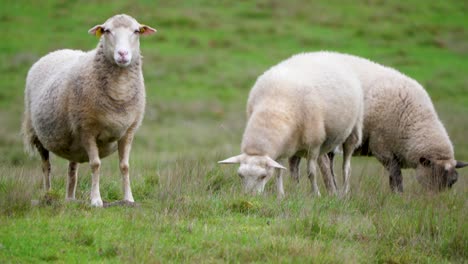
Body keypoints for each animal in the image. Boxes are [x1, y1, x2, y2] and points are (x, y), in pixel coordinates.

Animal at [22, 14, 156, 207]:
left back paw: (70, 198)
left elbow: (125, 166)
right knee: (46, 166)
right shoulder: (87, 130)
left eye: (136, 31)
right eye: (107, 30)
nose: (122, 54)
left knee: (72, 169)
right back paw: (47, 195)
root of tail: (56, 52)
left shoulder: (128, 131)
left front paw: (129, 198)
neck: (119, 91)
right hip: (37, 134)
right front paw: (96, 200)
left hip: (72, 142)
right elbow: (95, 164)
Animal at [218, 53, 364, 197]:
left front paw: (316, 194)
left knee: (346, 167)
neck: (274, 105)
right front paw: (281, 195)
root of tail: (327, 53)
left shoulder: (314, 146)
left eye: (263, 176)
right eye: (240, 175)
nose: (250, 196)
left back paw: (344, 193)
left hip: (352, 132)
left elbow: (311, 173)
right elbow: (279, 172)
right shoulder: (282, 148)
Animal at [288, 51, 468, 192]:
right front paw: (398, 197)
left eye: (452, 183)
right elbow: (396, 177)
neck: (412, 120)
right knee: (319, 164)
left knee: (295, 162)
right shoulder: (383, 149)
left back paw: (298, 190)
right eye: (435, 177)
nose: (435, 202)